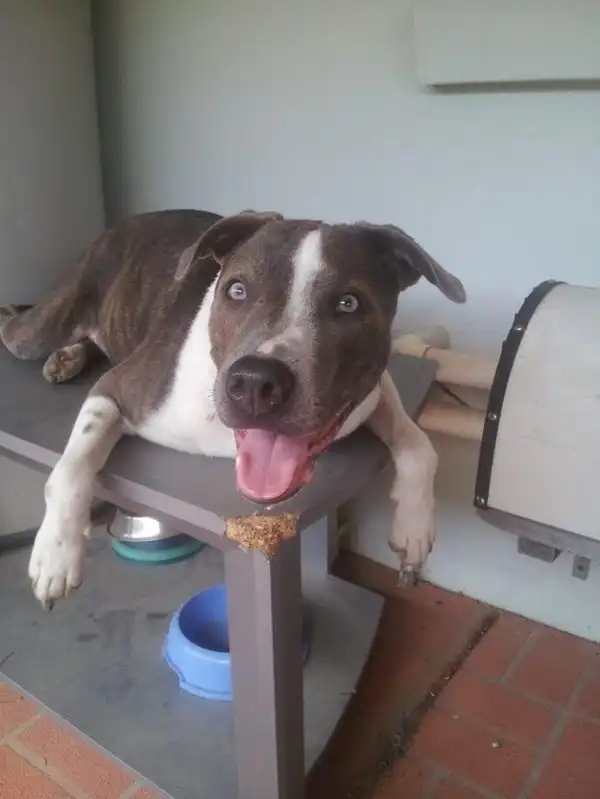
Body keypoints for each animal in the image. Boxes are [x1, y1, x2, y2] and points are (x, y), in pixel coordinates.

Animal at [0, 209, 465, 607]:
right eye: (236, 290)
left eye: (348, 303)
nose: (256, 382)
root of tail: (122, 223)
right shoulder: (116, 388)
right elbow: (70, 469)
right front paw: (56, 554)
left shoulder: (372, 393)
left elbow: (420, 446)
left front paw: (414, 527)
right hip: (39, 329)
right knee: (14, 323)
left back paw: (68, 357)